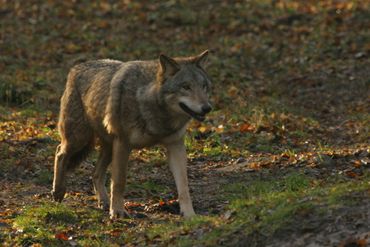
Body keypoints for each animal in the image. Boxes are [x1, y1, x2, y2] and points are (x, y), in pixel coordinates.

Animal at [52, 50, 214, 218]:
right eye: (186, 87)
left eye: (204, 86)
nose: (207, 108)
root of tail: (75, 68)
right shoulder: (123, 144)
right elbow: (119, 182)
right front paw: (118, 212)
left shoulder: (176, 146)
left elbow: (183, 185)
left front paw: (190, 214)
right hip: (79, 139)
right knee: (60, 152)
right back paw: (58, 192)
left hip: (108, 147)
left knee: (95, 173)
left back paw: (104, 202)